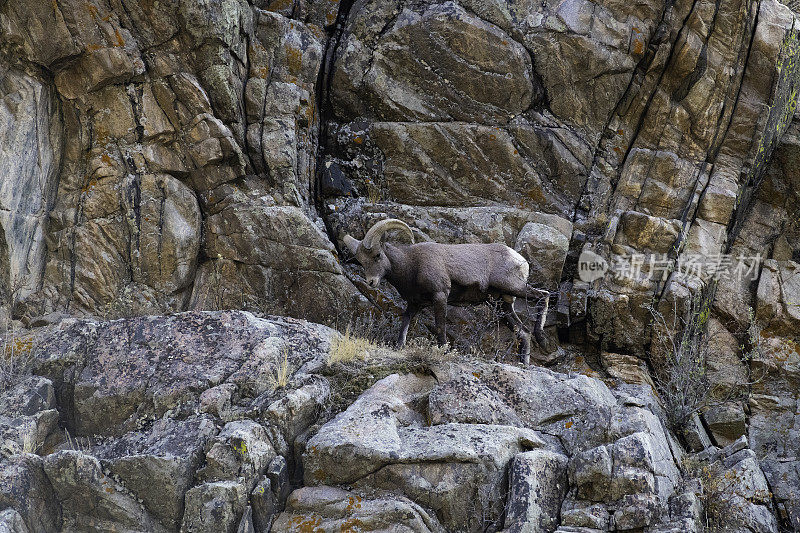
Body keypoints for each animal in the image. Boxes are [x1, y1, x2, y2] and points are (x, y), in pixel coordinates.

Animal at [344, 217, 552, 362]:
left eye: (378, 255)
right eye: (362, 262)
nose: (371, 282)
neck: (411, 265)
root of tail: (520, 259)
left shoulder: (440, 296)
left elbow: (440, 326)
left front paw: (443, 350)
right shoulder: (414, 304)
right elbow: (404, 325)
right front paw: (399, 347)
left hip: (513, 288)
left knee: (544, 296)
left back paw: (542, 339)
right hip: (502, 304)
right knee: (523, 332)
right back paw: (524, 363)